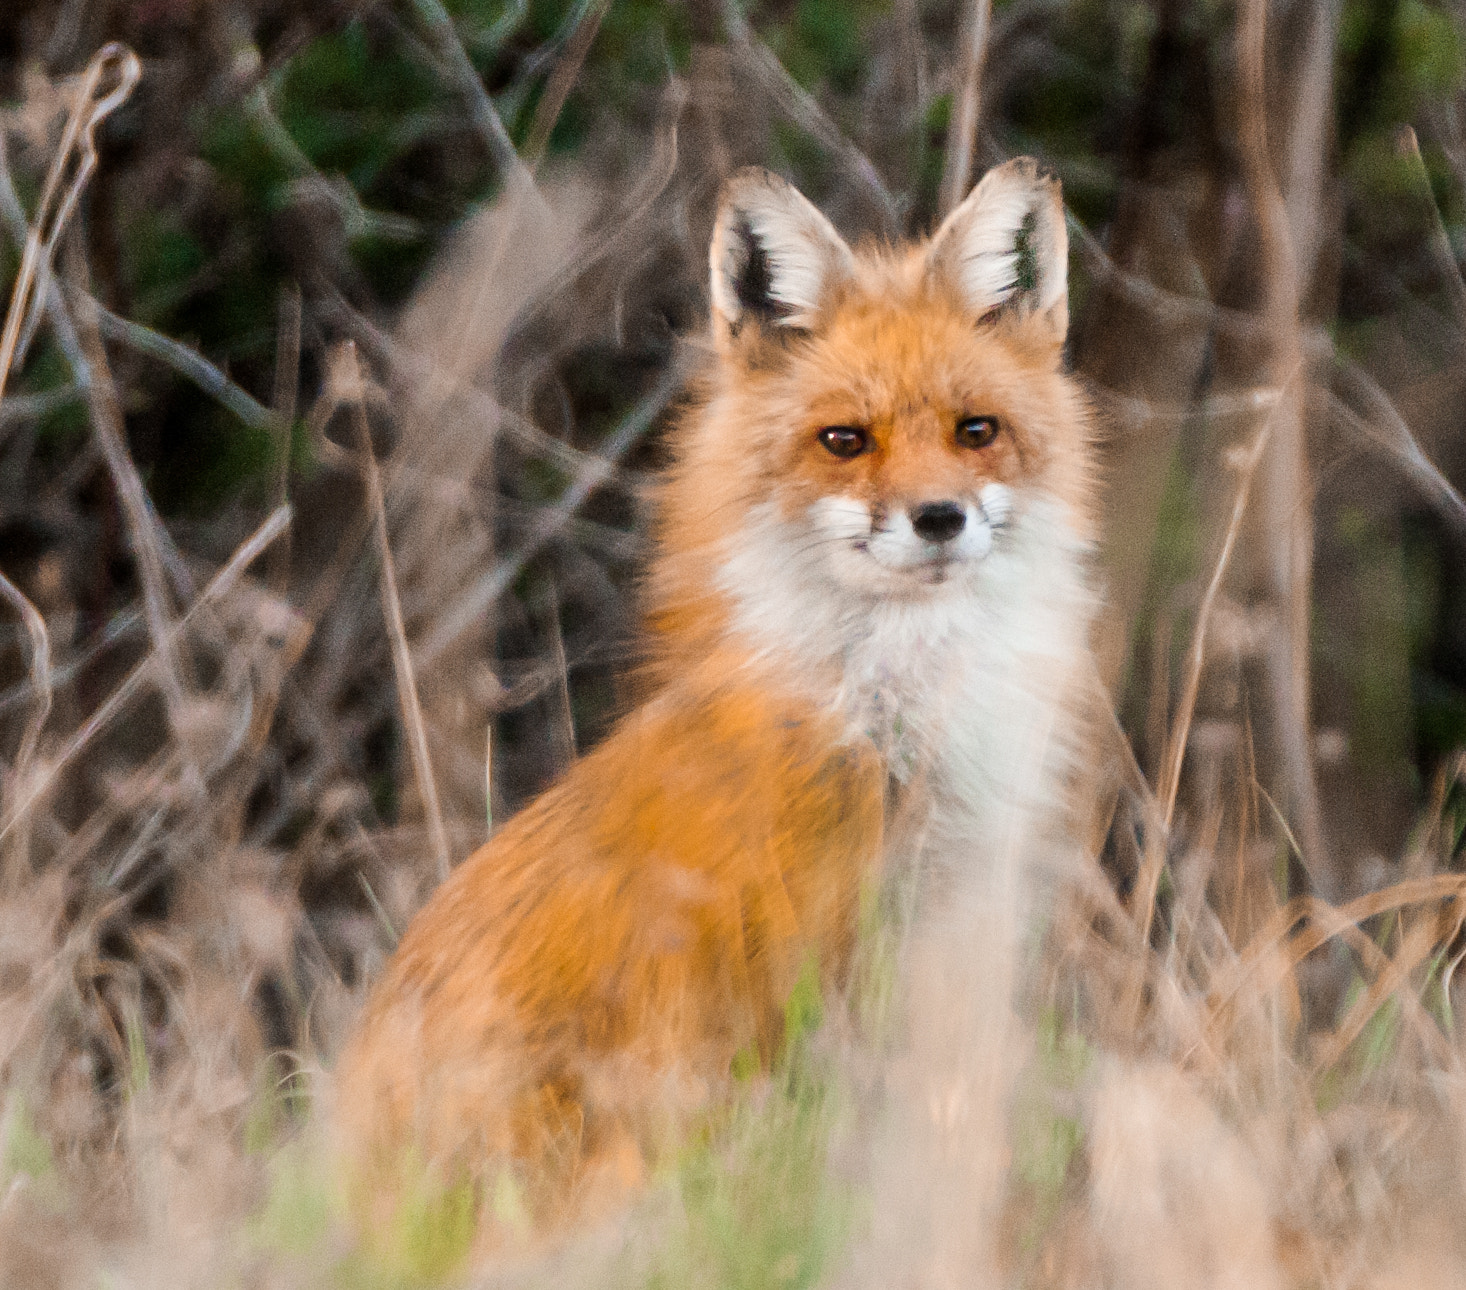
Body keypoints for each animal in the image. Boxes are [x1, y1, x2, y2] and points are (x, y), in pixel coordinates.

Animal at [335, 156, 1097, 1236]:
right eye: (844, 440)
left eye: (975, 431)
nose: (938, 517)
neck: (887, 727)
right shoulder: (818, 973)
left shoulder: (950, 934)